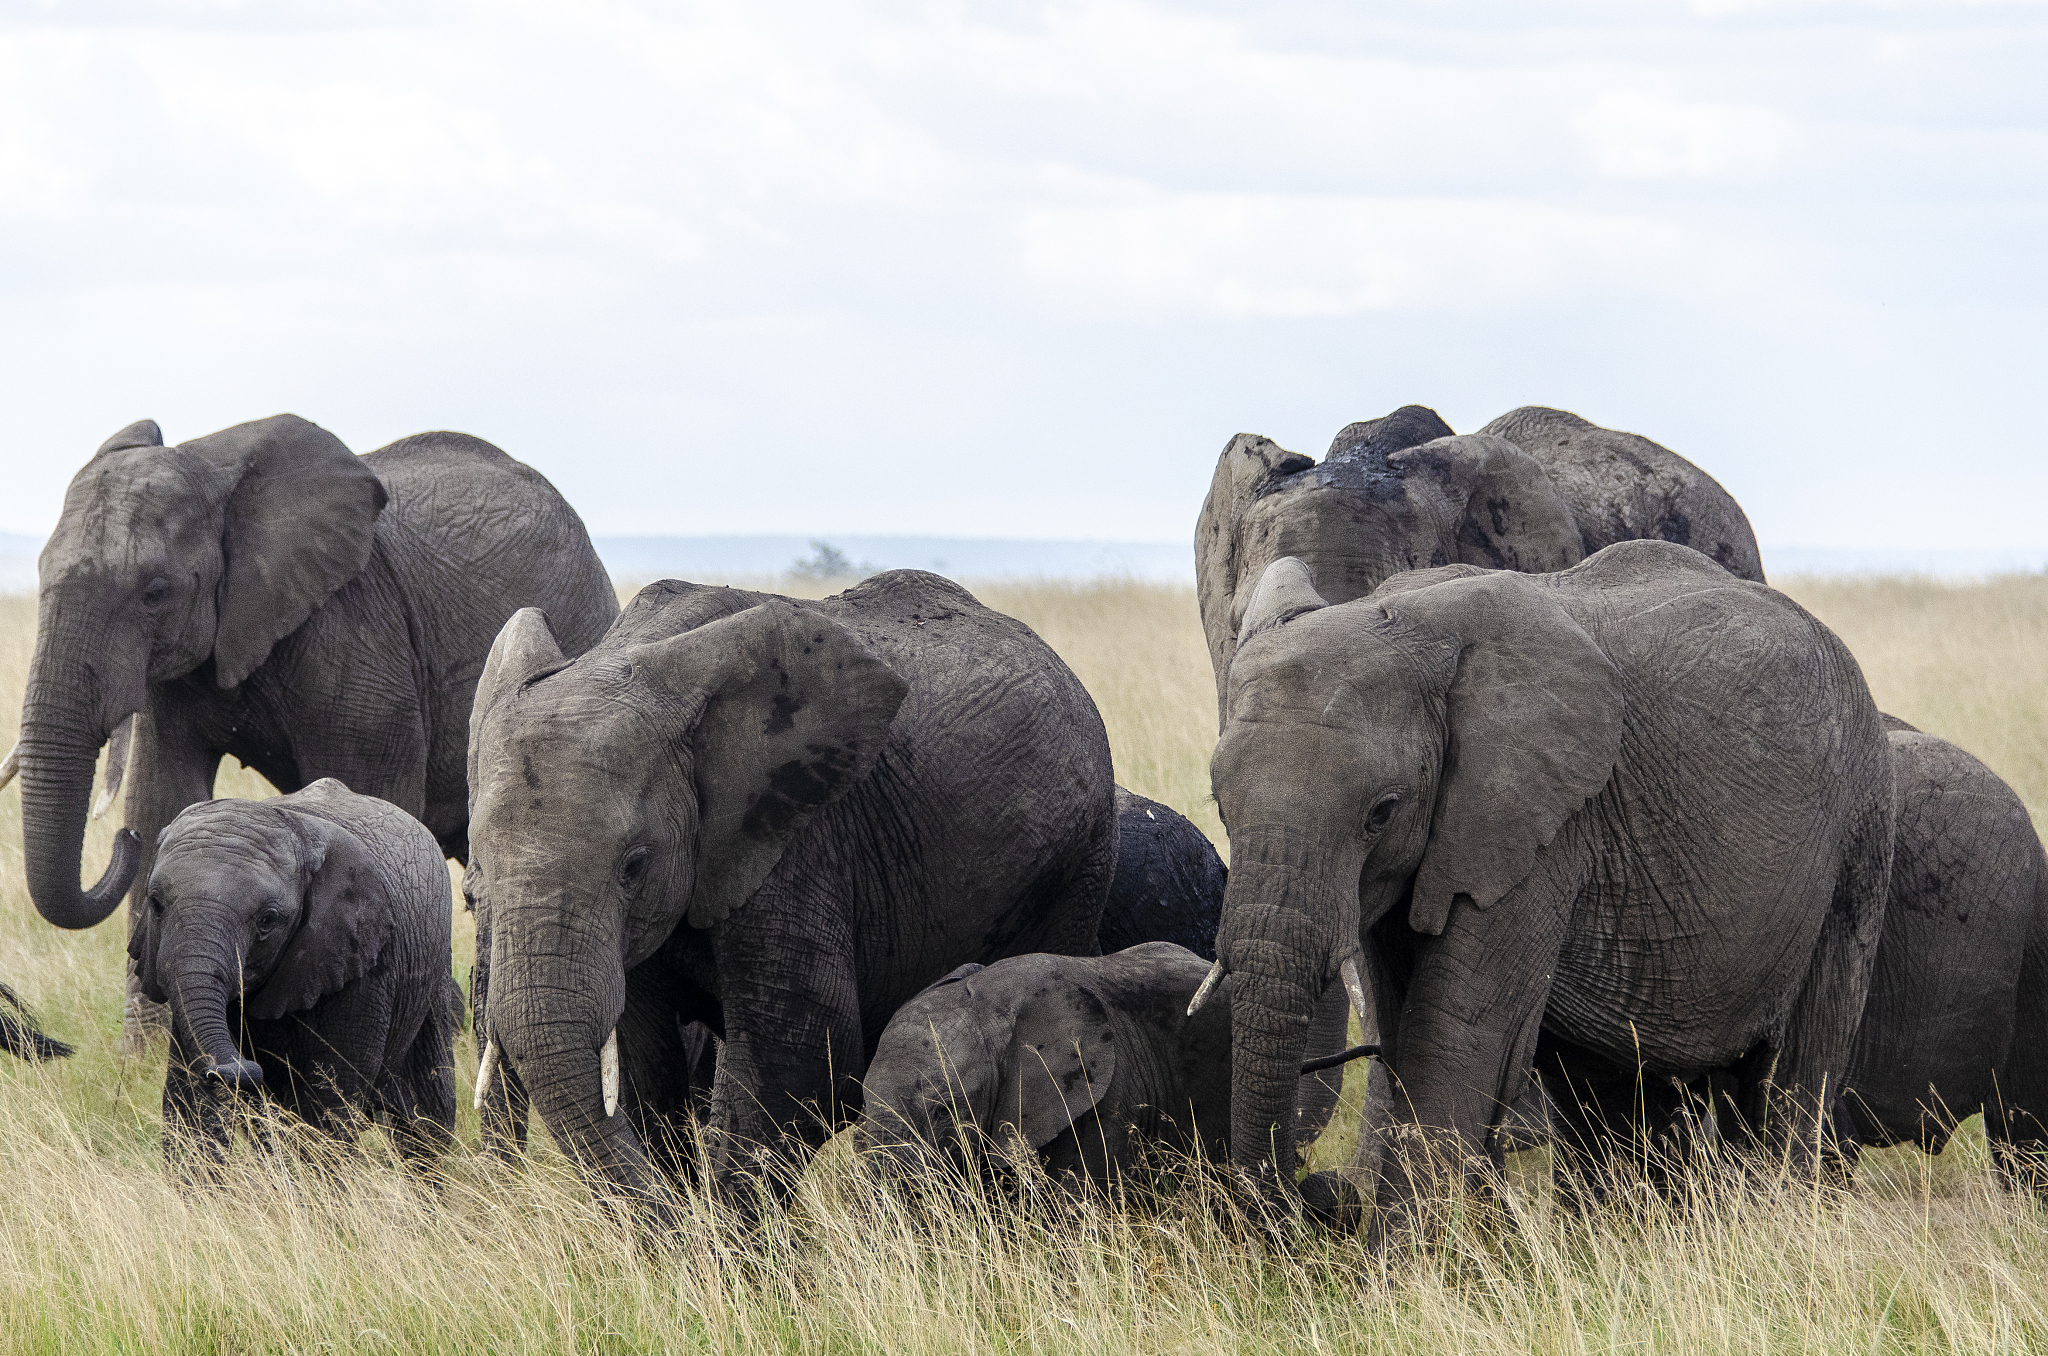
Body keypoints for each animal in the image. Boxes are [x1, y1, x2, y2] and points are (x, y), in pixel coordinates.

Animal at [6, 414, 616, 1048]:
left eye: (155, 591)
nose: (116, 843)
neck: (211, 467)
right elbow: (161, 799)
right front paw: (145, 1056)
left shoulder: (357, 632)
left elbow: (363, 797)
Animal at [131, 778, 459, 1165]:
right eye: (155, 903)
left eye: (267, 920)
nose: (233, 1072)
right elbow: (190, 1103)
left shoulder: (366, 968)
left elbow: (326, 1097)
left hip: (432, 974)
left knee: (426, 1122)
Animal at [464, 571, 1118, 1217]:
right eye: (476, 889)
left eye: (634, 864)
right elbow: (644, 1069)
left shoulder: (798, 839)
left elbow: (802, 1056)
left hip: (1077, 867)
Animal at [1202, 541, 1893, 1238]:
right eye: (1220, 807)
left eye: (1381, 812)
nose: (1321, 1196)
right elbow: (1401, 1029)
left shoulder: (1539, 827)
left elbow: (1453, 1031)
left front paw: (1408, 1261)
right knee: (1612, 1085)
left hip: (1858, 837)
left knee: (1798, 1066)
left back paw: (1782, 1220)